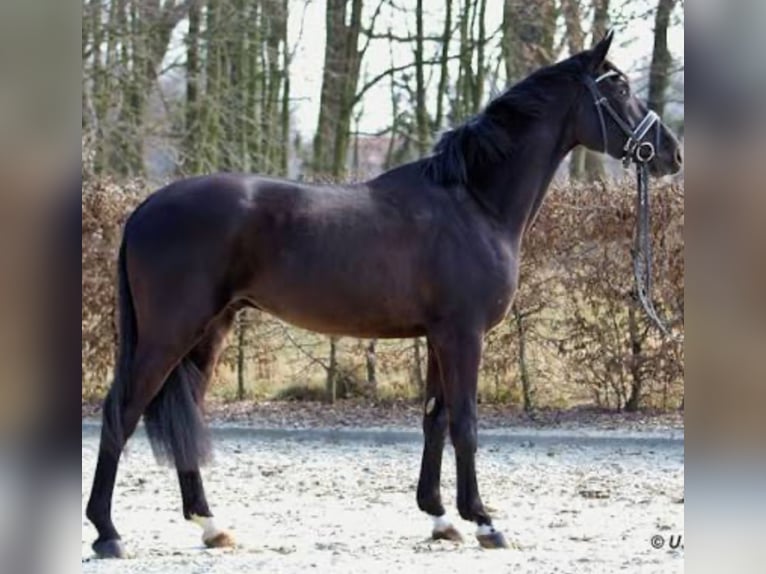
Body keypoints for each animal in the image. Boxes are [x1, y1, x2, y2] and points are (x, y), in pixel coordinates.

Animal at [86, 31, 682, 558]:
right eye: (617, 86)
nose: (670, 153)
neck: (473, 203)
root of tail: (143, 209)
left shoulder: (440, 337)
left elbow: (435, 418)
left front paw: (440, 518)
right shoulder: (463, 335)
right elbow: (465, 422)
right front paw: (484, 521)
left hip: (209, 332)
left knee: (185, 415)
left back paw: (211, 526)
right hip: (168, 334)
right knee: (122, 412)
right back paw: (108, 533)